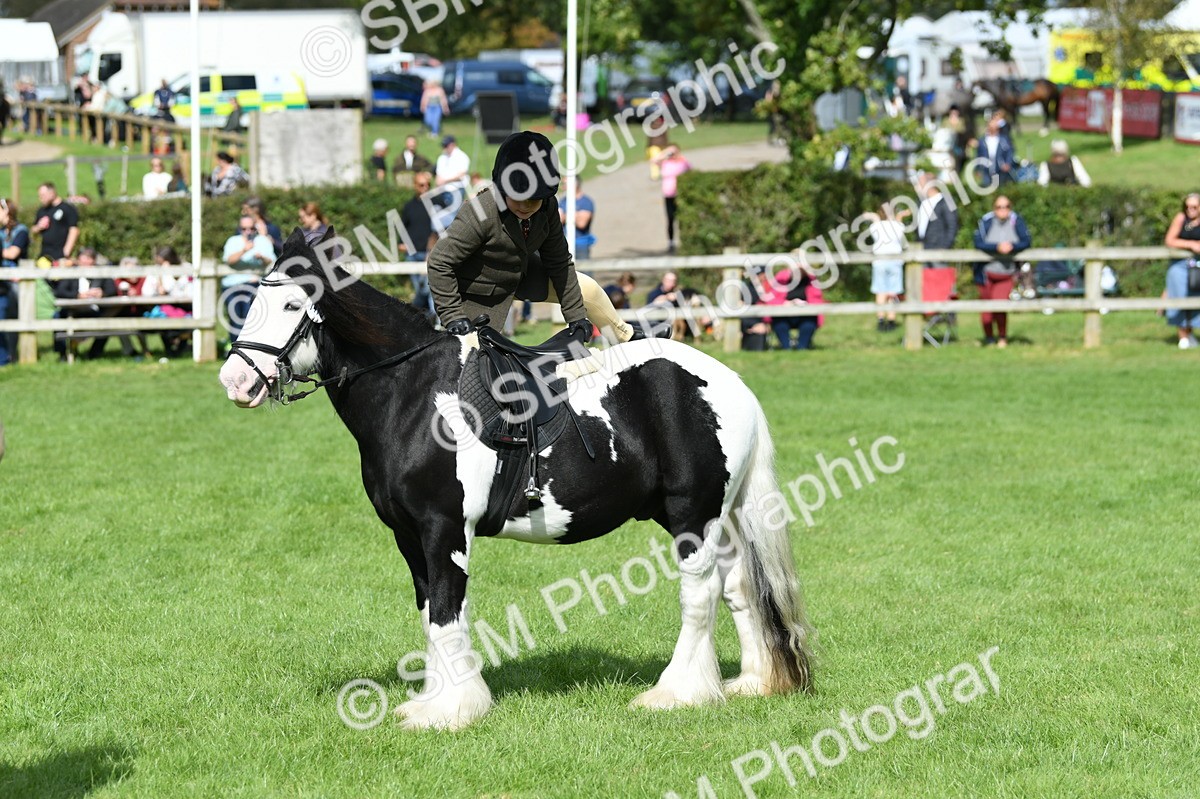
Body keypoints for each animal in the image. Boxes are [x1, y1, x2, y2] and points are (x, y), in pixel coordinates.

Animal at [217, 229, 815, 730]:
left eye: (292, 305)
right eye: (251, 303)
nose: (235, 380)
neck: (414, 392)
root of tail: (730, 383)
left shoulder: (444, 530)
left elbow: (447, 614)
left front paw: (453, 710)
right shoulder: (408, 537)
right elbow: (430, 616)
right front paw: (432, 701)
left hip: (693, 514)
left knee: (702, 592)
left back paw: (677, 693)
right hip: (717, 516)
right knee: (739, 587)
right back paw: (751, 683)